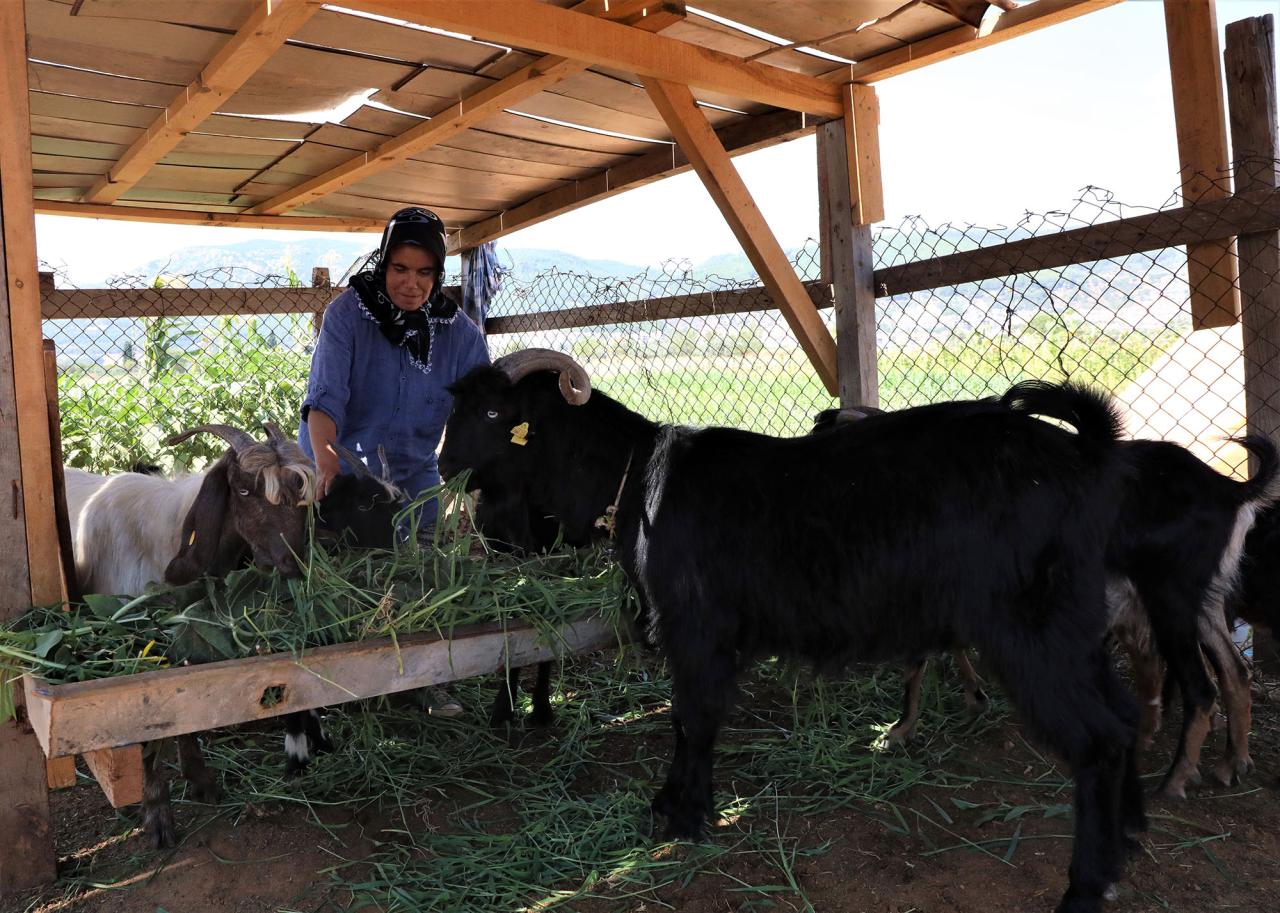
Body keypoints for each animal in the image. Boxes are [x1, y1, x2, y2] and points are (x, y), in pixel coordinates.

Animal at [445, 348, 1146, 911]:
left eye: (493, 414)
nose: (443, 465)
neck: (637, 475)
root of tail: (1082, 454)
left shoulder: (697, 632)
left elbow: (692, 719)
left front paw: (684, 815)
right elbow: (687, 721)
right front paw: (674, 805)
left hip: (1032, 629)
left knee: (1098, 741)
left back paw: (1086, 886)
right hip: (1075, 625)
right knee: (1126, 714)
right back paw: (1130, 837)